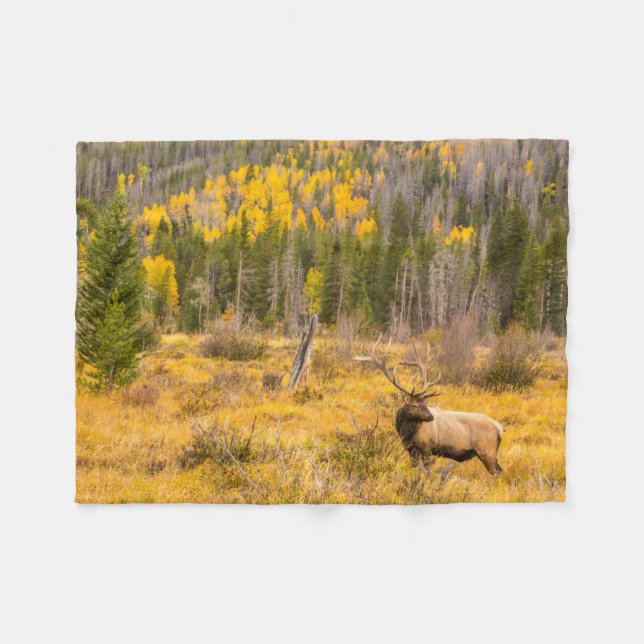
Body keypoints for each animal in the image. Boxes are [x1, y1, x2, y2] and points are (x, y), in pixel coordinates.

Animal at [354, 337, 505, 475]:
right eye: (415, 405)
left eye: (425, 404)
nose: (431, 417)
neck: (406, 432)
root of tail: (500, 428)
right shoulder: (410, 449)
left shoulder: (426, 448)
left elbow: (425, 470)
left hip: (487, 451)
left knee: (497, 472)